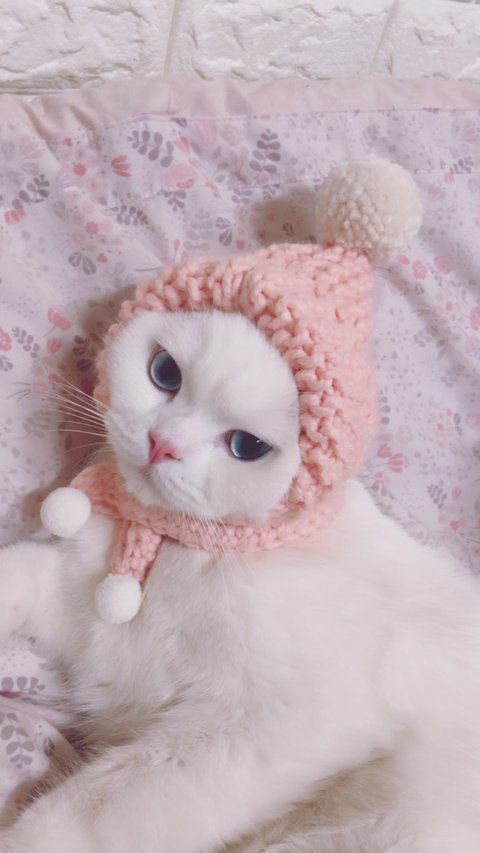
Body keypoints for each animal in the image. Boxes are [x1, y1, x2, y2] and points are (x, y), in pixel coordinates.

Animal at [1, 307, 480, 853]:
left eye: (246, 446)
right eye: (165, 373)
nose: (162, 444)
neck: (174, 545)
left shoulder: (268, 728)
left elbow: (85, 812)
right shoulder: (85, 620)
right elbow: (18, 574)